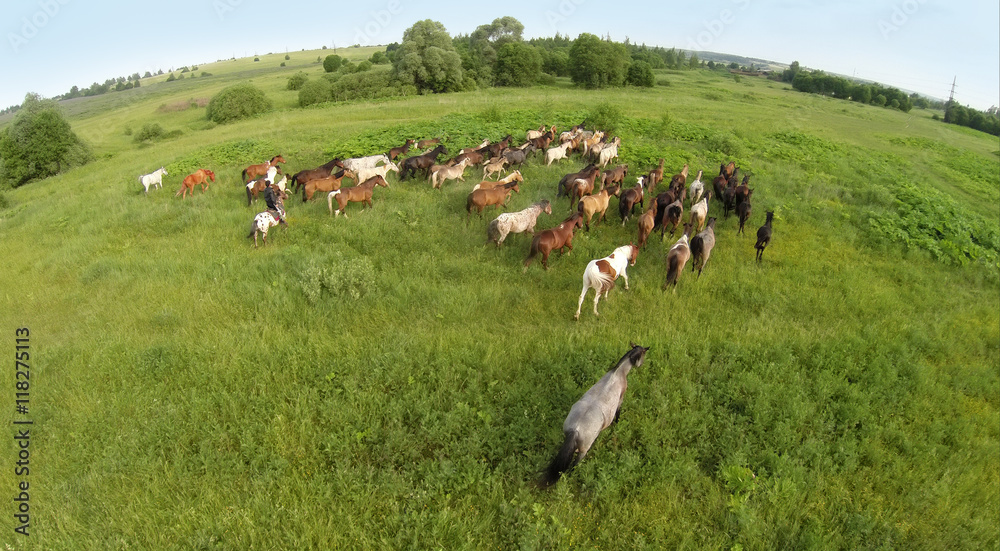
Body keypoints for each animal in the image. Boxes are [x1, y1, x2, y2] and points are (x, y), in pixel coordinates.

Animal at [544, 342, 652, 490]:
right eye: (643, 354)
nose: (641, 365)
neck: (618, 372)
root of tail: (575, 429)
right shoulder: (621, 399)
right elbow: (618, 413)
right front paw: (616, 425)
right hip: (583, 451)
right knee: (573, 465)